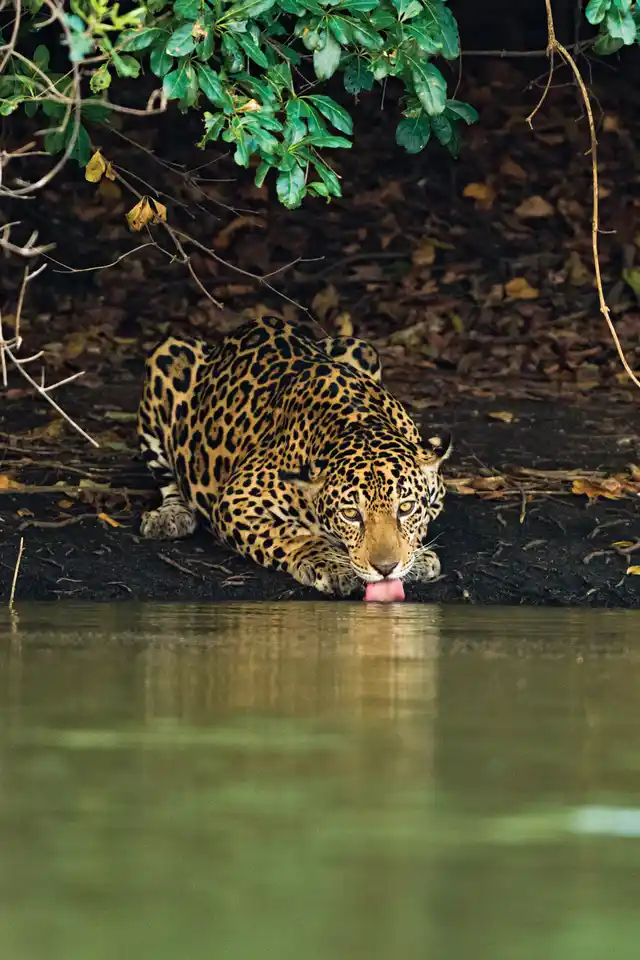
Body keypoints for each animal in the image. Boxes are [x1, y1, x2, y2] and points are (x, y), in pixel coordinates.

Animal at [137, 316, 452, 596]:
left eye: (406, 508)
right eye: (351, 514)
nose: (386, 568)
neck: (359, 424)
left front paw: (418, 558)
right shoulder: (235, 502)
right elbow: (291, 535)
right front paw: (328, 563)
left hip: (360, 346)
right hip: (167, 357)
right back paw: (170, 516)